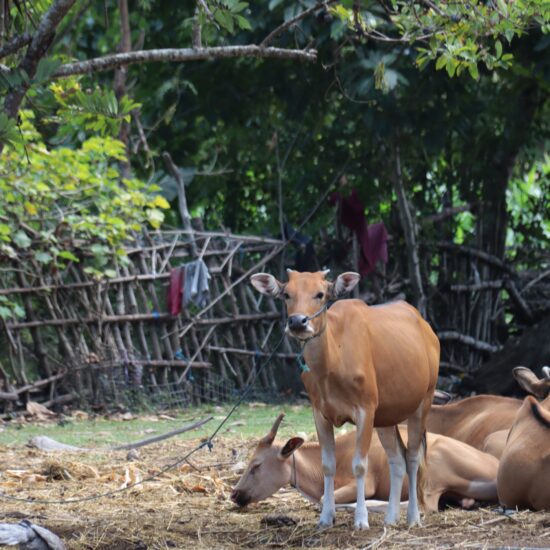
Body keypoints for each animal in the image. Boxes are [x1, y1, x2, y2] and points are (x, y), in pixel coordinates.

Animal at [231, 416, 498, 516]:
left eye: (256, 465)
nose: (234, 494)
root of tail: (495, 466)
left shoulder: (363, 482)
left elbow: (324, 500)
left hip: (432, 470)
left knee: (425, 506)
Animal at [252, 272, 442, 532]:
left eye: (320, 294)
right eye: (286, 294)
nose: (298, 322)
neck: (333, 361)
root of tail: (428, 331)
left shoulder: (365, 410)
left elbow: (359, 466)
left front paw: (361, 519)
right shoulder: (320, 413)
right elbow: (327, 465)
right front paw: (326, 517)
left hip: (423, 402)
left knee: (413, 458)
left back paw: (413, 517)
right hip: (386, 417)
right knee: (397, 459)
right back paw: (391, 517)